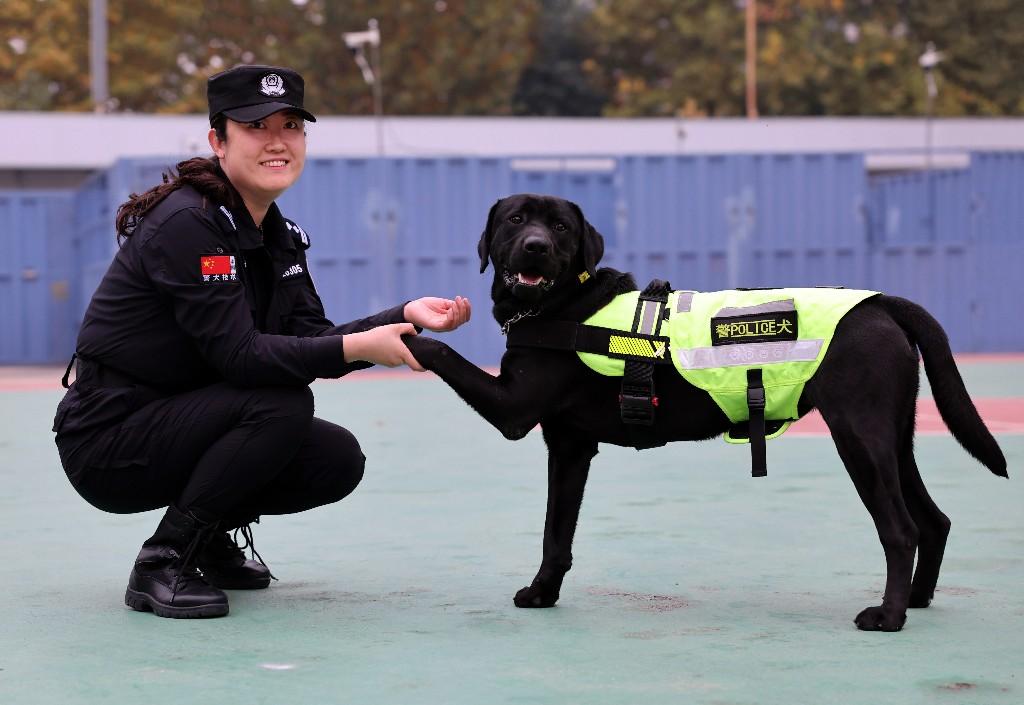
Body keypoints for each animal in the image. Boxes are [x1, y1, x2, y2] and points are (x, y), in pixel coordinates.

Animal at [401, 193, 1007, 635]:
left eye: (561, 228)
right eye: (516, 220)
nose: (535, 247)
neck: (561, 308)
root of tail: (882, 303)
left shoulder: (512, 408)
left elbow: (438, 351)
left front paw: (401, 331)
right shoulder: (570, 447)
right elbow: (557, 532)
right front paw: (544, 592)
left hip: (859, 436)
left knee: (900, 529)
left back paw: (889, 615)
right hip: (893, 437)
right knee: (933, 519)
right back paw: (919, 600)